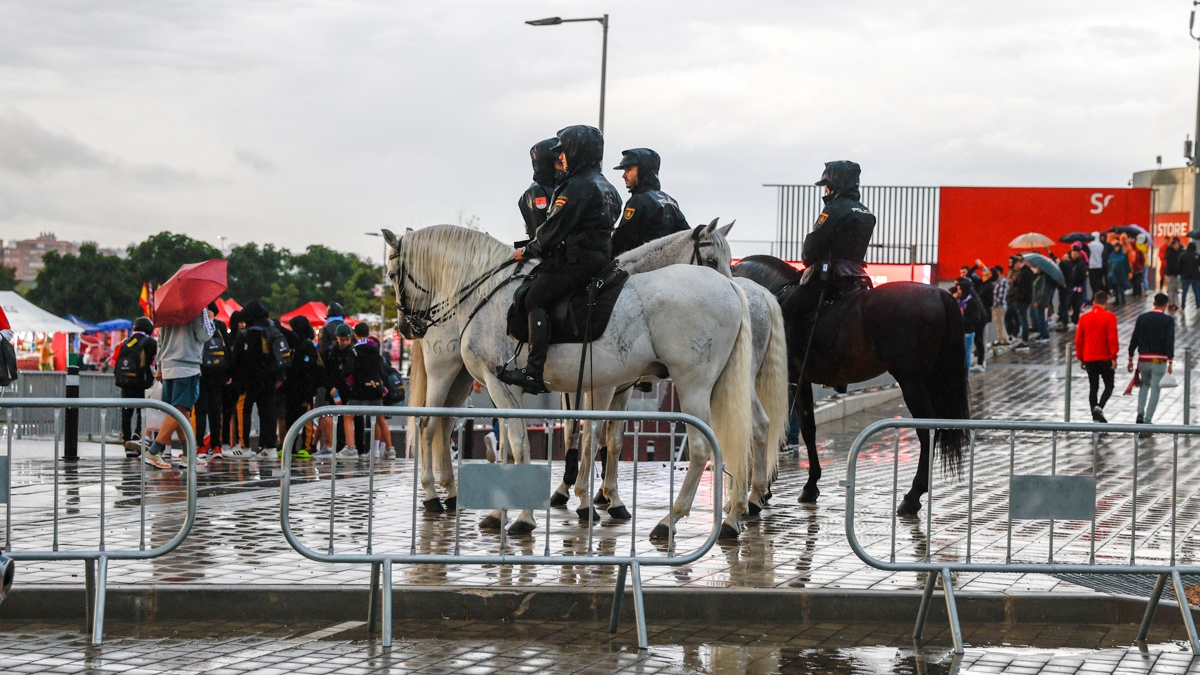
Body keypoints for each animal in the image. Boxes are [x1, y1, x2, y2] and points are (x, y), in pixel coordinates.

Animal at [729, 254, 974, 511]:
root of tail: (939, 294)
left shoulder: (793, 380)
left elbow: (793, 427)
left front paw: (769, 487)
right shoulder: (801, 380)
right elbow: (808, 428)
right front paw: (808, 485)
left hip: (912, 382)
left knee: (927, 431)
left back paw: (912, 497)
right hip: (931, 380)